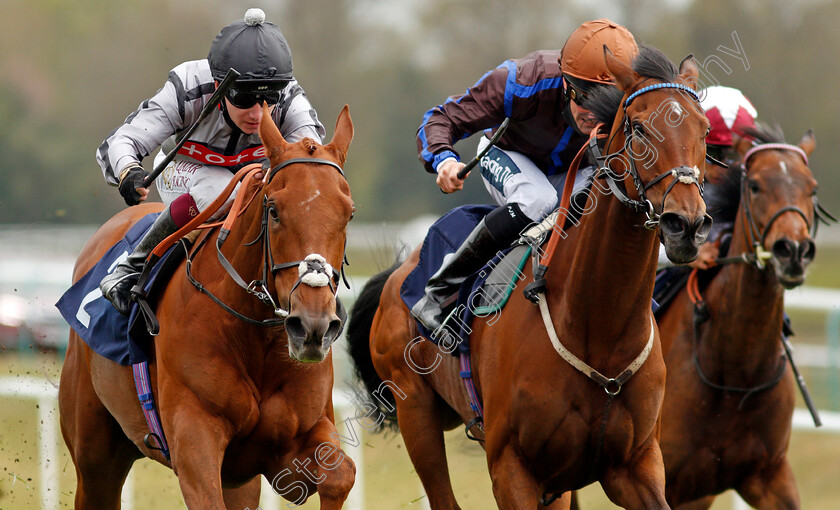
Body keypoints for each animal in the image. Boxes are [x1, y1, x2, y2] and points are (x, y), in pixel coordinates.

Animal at [57, 105, 360, 508]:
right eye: (274, 209)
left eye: (349, 213)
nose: (312, 326)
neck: (257, 340)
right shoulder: (193, 438)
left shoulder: (292, 442)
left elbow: (341, 474)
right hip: (94, 455)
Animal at [346, 45, 708, 508]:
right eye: (640, 128)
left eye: (704, 129)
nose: (687, 225)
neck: (597, 330)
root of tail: (398, 275)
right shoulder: (512, 468)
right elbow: (447, 115)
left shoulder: (634, 466)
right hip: (416, 412)